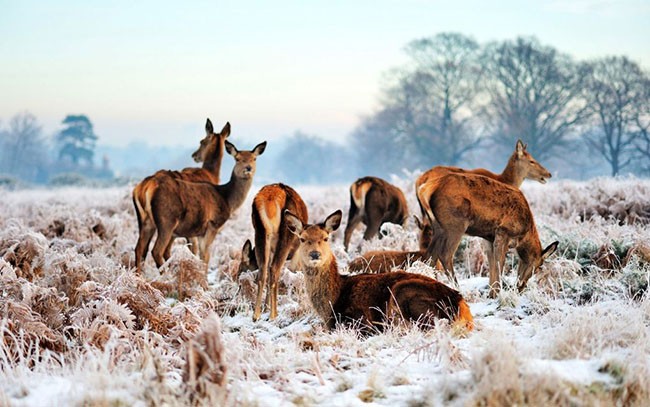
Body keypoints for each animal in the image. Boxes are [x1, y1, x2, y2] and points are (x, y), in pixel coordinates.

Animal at [133, 140, 264, 274]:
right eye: (237, 159)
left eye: (254, 158)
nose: (248, 168)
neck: (227, 200)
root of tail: (146, 186)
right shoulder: (213, 225)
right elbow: (205, 256)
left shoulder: (200, 232)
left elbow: (201, 256)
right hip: (167, 220)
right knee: (156, 250)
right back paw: (166, 275)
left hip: (146, 221)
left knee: (139, 248)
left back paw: (139, 275)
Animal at [247, 184, 308, 322]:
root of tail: (270, 199)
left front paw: (266, 306)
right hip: (286, 234)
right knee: (274, 269)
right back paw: (273, 315)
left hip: (260, 233)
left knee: (263, 271)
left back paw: (256, 315)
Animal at [284, 210, 470, 332]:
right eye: (302, 239)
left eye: (325, 238)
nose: (315, 254)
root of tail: (461, 306)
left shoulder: (359, 319)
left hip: (404, 293)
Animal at [422, 172, 556, 296]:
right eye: (539, 266)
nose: (521, 287)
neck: (525, 234)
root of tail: (426, 188)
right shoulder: (503, 231)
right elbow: (499, 265)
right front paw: (497, 293)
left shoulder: (489, 238)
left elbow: (492, 265)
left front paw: (492, 294)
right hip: (455, 225)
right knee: (444, 254)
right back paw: (458, 289)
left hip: (437, 227)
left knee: (429, 255)